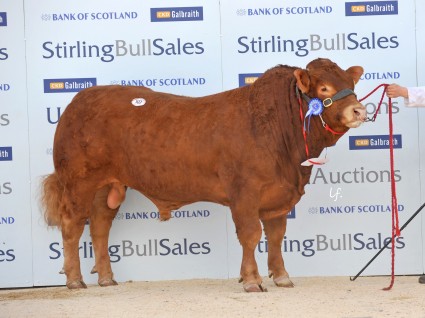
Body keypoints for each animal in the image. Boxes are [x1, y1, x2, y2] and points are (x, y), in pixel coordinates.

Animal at [42, 57, 364, 294]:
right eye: (324, 89)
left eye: (351, 85)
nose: (360, 110)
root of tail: (80, 99)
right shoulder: (244, 193)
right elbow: (250, 235)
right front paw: (252, 280)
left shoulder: (278, 195)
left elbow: (275, 235)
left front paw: (282, 276)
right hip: (78, 182)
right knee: (72, 226)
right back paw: (74, 280)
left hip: (109, 186)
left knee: (99, 227)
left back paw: (107, 278)